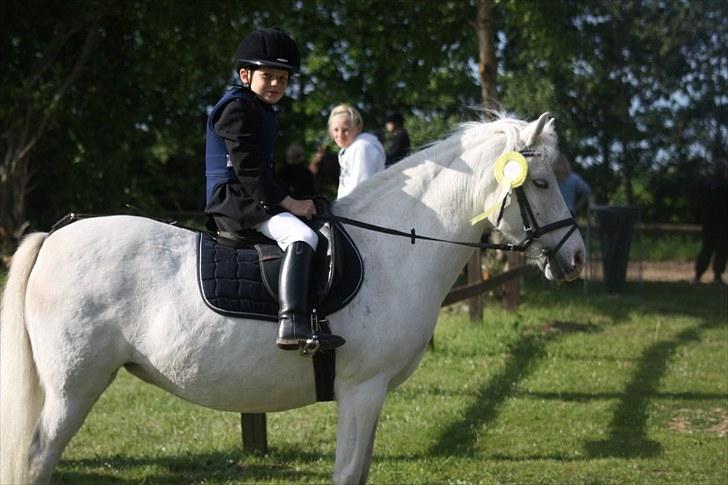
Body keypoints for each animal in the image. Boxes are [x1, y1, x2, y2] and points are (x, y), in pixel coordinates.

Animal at [0, 112, 584, 480]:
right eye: (539, 182)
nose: (576, 258)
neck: (394, 247)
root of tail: (52, 236)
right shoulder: (362, 390)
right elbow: (347, 473)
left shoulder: (371, 396)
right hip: (74, 388)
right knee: (35, 460)